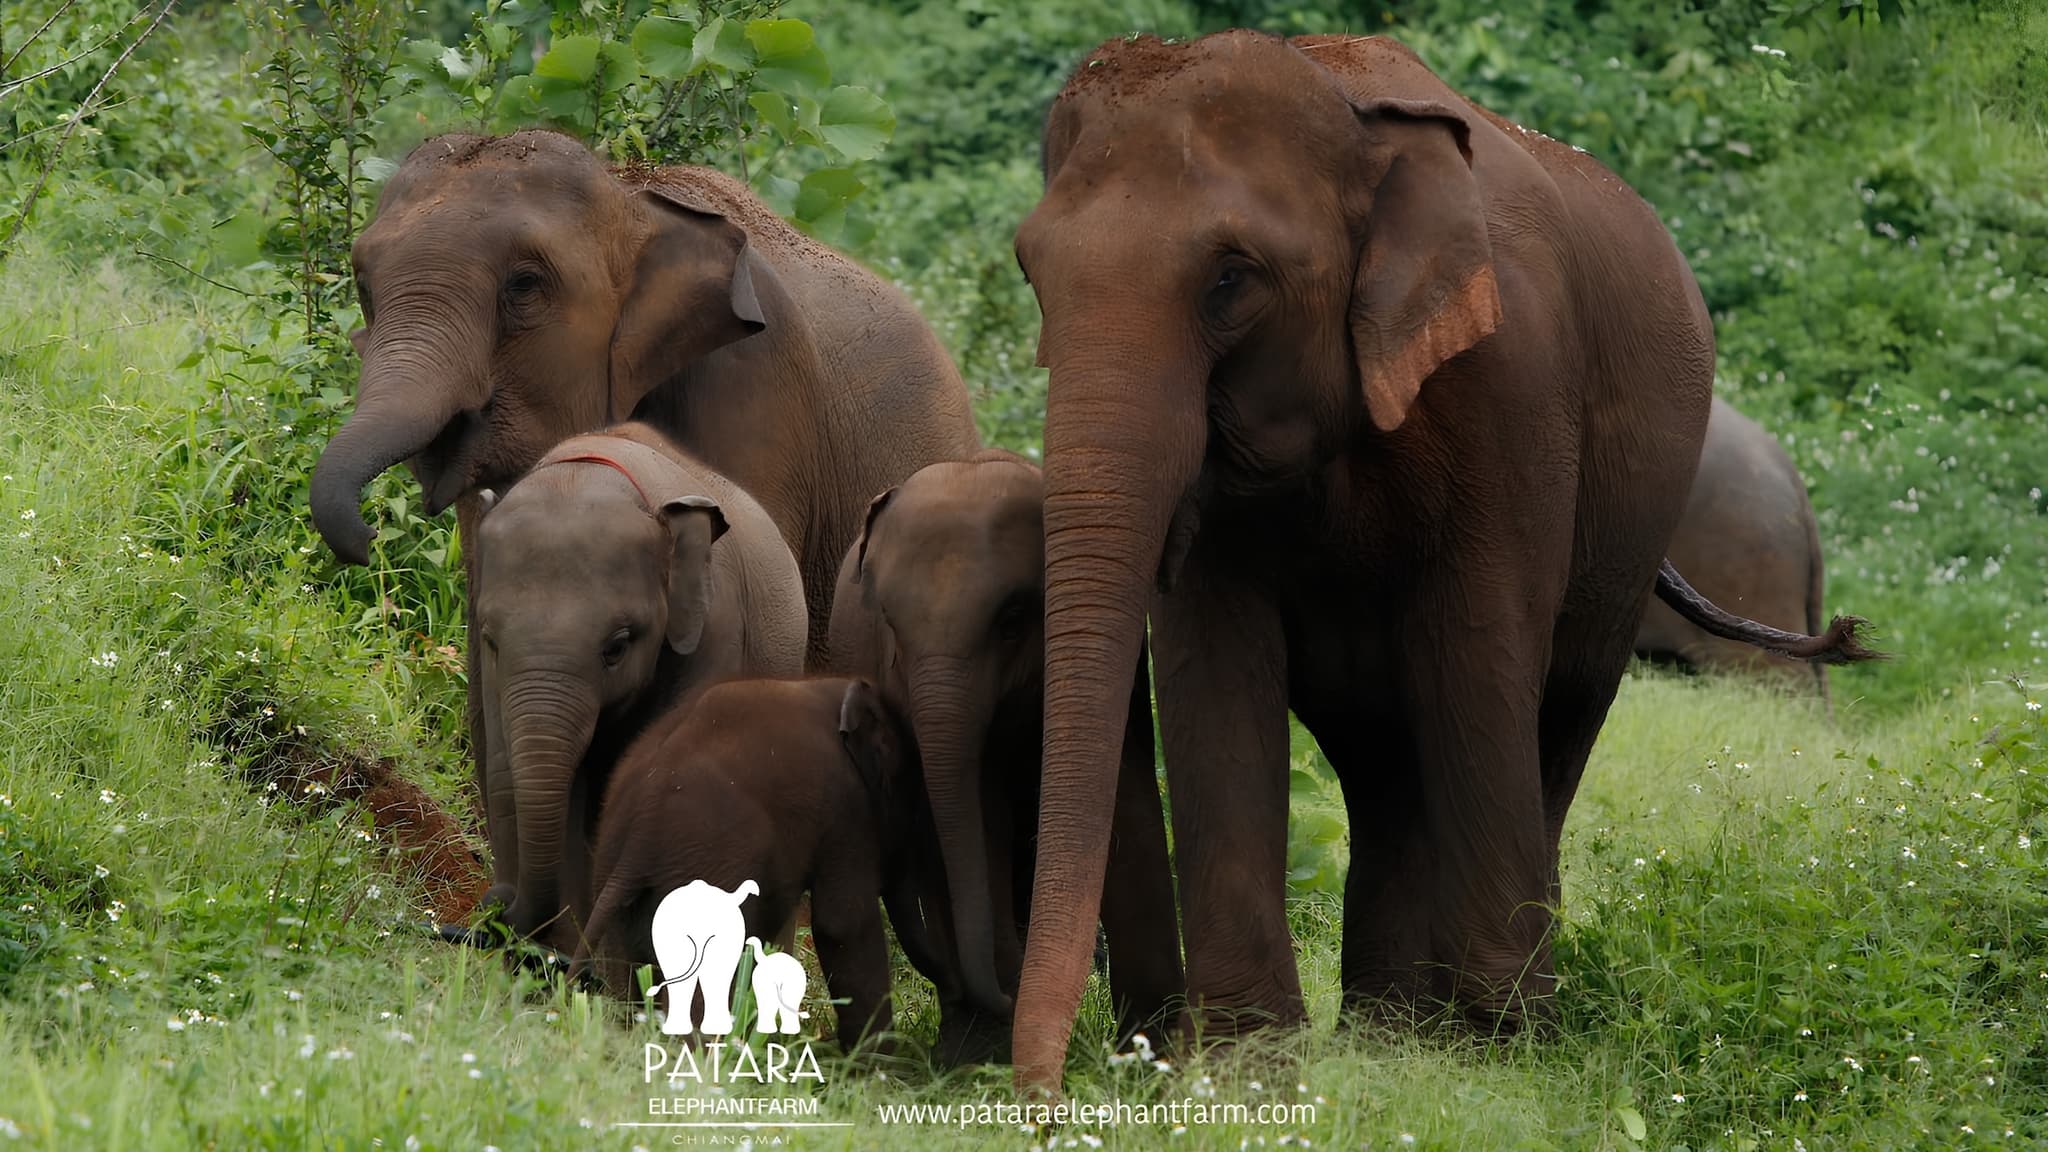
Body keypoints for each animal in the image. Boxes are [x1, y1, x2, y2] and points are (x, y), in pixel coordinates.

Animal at [827, 450, 1184, 1062]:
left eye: (1013, 620)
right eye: (888, 624)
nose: (1004, 991)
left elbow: (1125, 789)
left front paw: (1158, 1049)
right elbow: (972, 822)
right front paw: (983, 1050)